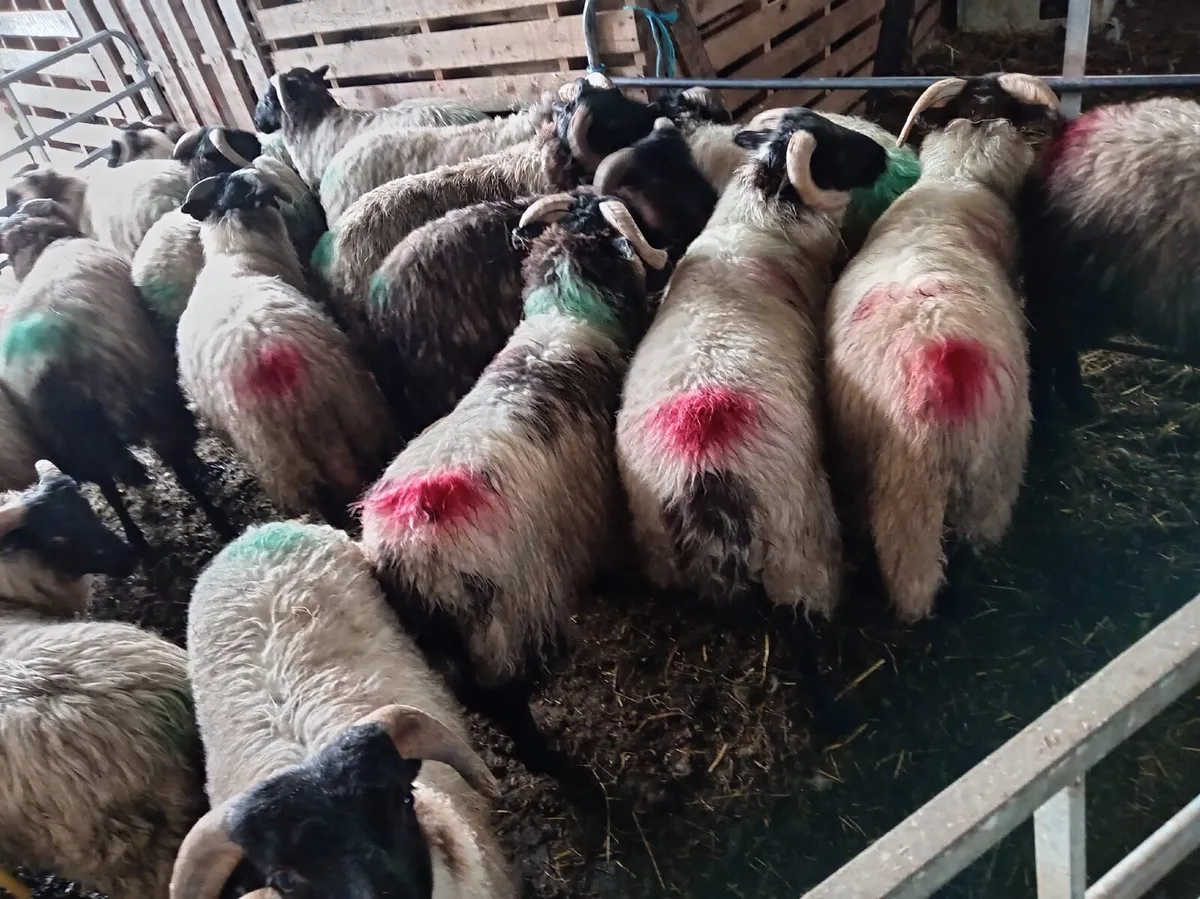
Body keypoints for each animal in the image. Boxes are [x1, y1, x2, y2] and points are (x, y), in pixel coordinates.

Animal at [0, 199, 230, 550]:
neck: (44, 248)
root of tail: (61, 361)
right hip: (152, 398)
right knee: (180, 466)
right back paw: (220, 521)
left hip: (75, 441)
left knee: (108, 488)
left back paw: (138, 541)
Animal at [359, 192, 663, 798]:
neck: (570, 316)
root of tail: (405, 552)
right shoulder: (601, 512)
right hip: (502, 623)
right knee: (507, 705)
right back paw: (563, 771)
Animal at [614, 109, 890, 727]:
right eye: (836, 148)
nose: (884, 157)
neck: (765, 213)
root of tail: (704, 475)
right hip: (801, 550)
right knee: (806, 628)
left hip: (663, 553)